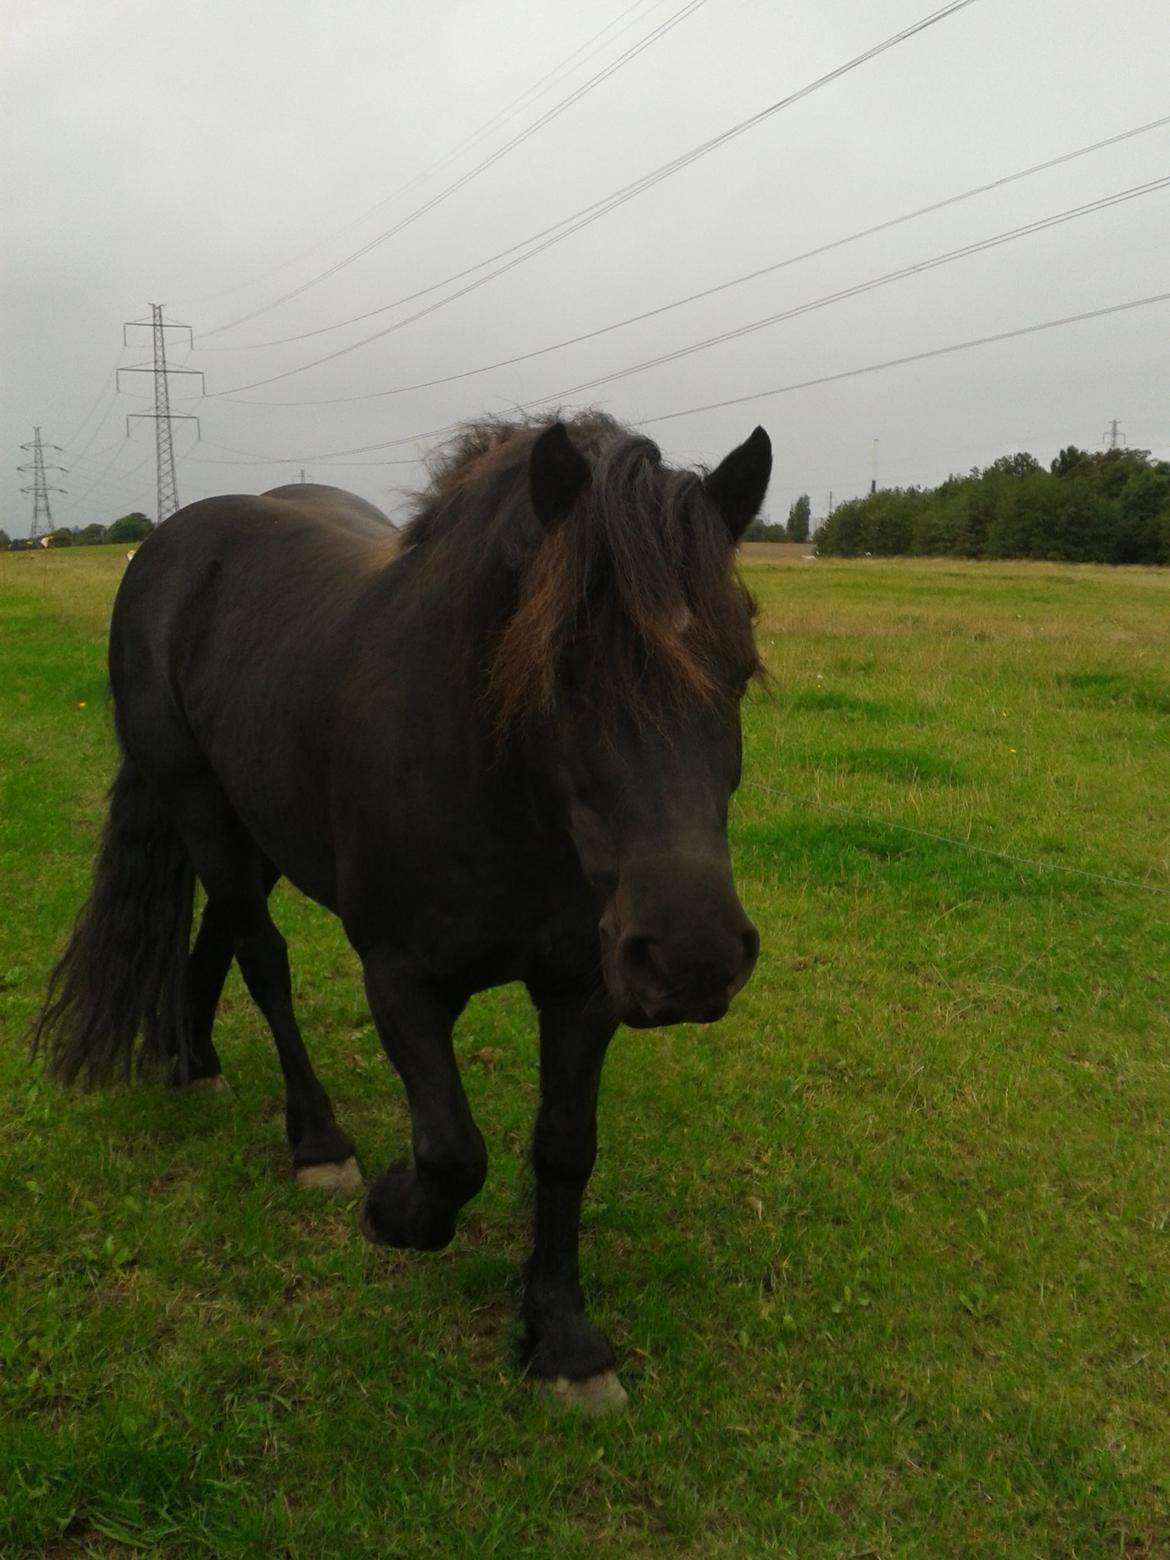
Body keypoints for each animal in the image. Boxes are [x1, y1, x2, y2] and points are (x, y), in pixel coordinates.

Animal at [31, 414, 773, 1416]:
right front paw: (392, 1208)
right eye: (563, 667)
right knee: (262, 960)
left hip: (259, 824)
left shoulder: (585, 989)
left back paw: (192, 1060)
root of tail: (173, 543)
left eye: (739, 664)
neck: (496, 783)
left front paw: (563, 1338)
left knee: (218, 936)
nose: (694, 959)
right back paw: (315, 1140)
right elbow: (454, 1151)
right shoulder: (399, 976)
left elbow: (564, 1149)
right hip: (199, 805)